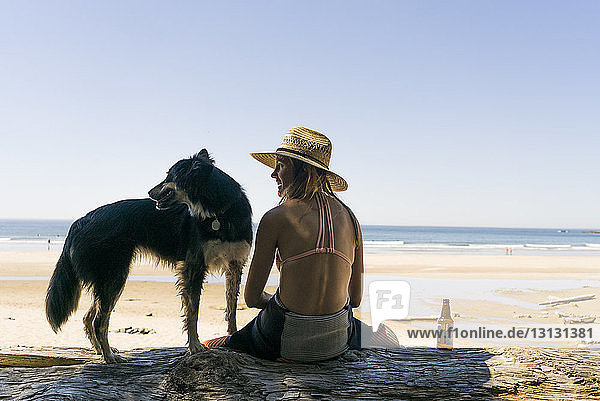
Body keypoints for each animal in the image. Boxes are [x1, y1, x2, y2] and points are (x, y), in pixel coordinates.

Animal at [45, 149, 252, 362]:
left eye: (170, 177)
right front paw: (194, 346)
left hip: (110, 278)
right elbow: (193, 311)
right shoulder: (194, 266)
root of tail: (80, 220)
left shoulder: (235, 265)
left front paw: (232, 337)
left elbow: (231, 308)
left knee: (89, 318)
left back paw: (101, 351)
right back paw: (109, 356)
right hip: (114, 275)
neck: (220, 212)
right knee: (98, 321)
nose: (149, 193)